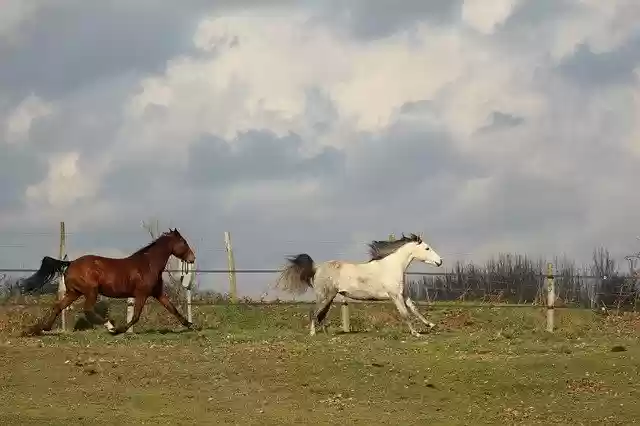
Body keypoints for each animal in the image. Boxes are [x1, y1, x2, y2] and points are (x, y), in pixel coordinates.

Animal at [21, 228, 196, 337]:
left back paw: (38, 329)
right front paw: (119, 330)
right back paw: (109, 326)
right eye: (184, 242)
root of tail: (70, 263)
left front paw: (191, 325)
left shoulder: (157, 293)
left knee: (58, 306)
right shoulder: (142, 293)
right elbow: (136, 316)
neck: (148, 264)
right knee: (87, 310)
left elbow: (172, 309)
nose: (192, 258)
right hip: (90, 291)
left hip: (74, 292)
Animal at [275, 233, 443, 337]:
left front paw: (431, 325)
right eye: (427, 248)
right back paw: (312, 333)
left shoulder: (403, 294)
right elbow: (405, 314)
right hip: (324, 296)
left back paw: (326, 333)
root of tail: (317, 268)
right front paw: (416, 333)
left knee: (321, 315)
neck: (391, 267)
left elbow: (415, 309)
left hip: (329, 297)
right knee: (314, 312)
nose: (440, 261)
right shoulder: (395, 296)